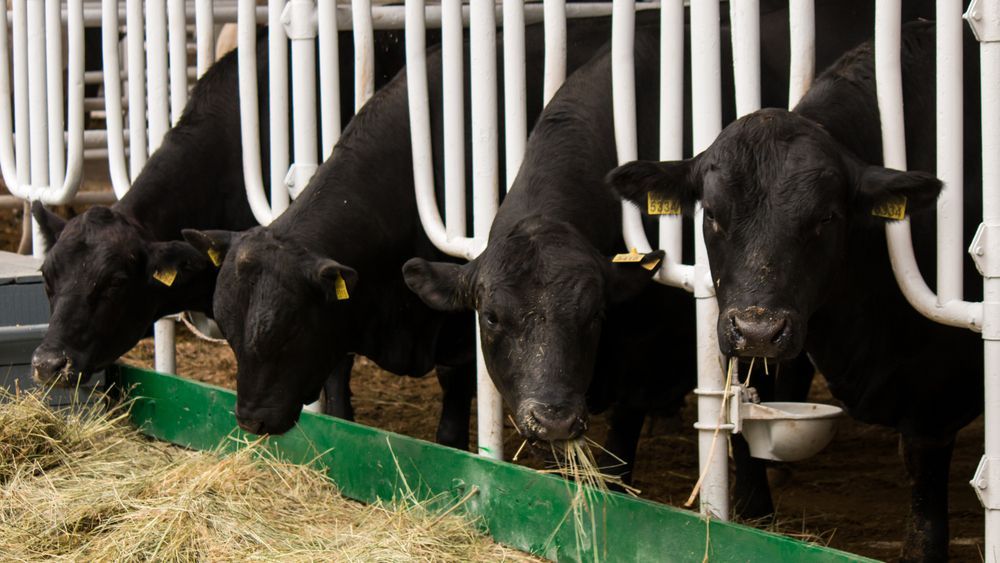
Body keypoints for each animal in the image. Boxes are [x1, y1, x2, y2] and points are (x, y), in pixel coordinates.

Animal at [609, 21, 980, 561]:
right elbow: (743, 423)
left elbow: (923, 495)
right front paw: (753, 516)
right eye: (712, 214)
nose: (758, 330)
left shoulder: (937, 385)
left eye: (826, 217)